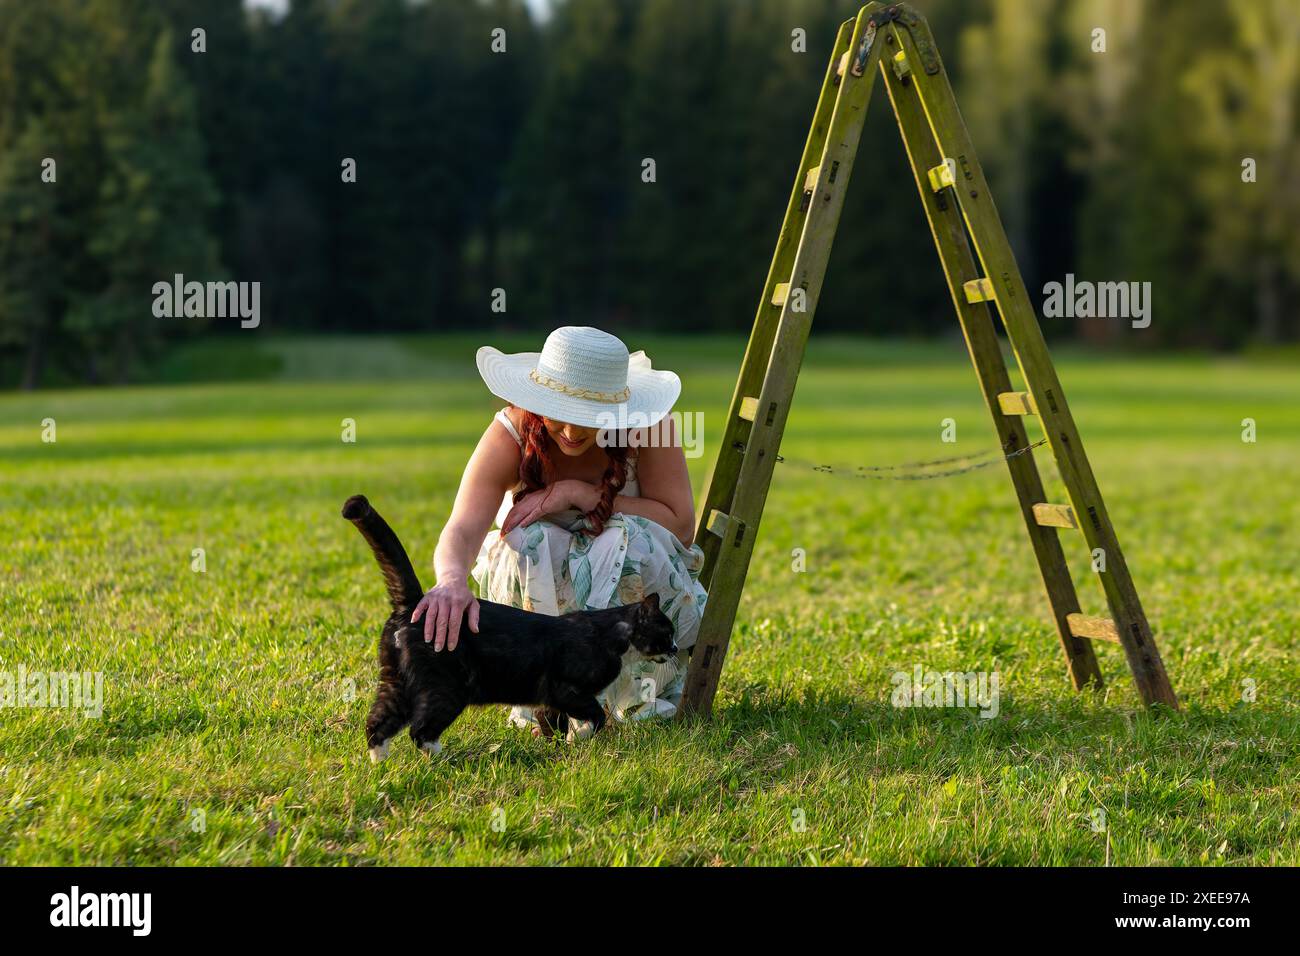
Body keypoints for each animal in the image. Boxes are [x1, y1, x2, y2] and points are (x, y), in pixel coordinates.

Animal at [340, 496, 676, 759]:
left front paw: (560, 745)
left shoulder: (551, 697)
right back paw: (442, 756)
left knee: (378, 721)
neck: (612, 634)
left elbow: (552, 720)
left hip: (395, 680)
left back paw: (380, 763)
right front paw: (580, 737)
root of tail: (414, 604)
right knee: (419, 730)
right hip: (446, 686)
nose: (675, 648)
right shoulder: (566, 688)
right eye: (667, 632)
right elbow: (594, 714)